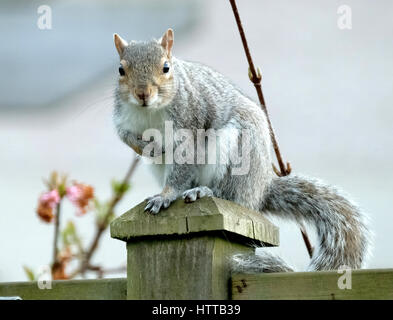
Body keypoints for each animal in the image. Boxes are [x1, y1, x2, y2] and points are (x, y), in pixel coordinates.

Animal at [111, 28, 370, 272]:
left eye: (166, 67)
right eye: (121, 70)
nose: (143, 94)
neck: (149, 111)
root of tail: (260, 188)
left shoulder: (190, 123)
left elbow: (183, 164)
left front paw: (165, 195)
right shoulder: (123, 119)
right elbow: (125, 137)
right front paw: (146, 147)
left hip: (237, 153)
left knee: (229, 194)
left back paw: (203, 191)